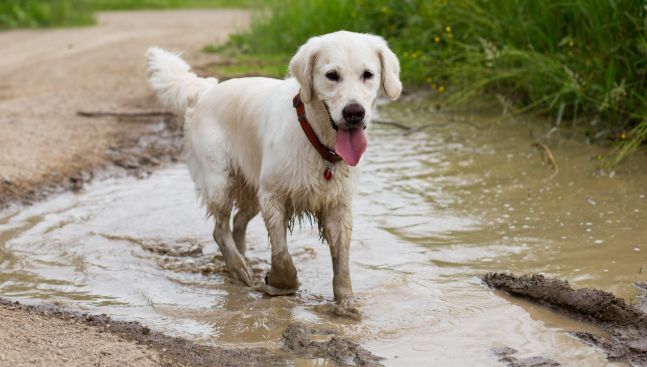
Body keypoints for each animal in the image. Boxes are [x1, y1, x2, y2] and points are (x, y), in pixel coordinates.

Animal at [146, 30, 402, 308]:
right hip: (219, 180)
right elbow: (281, 253)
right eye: (332, 75)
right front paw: (281, 283)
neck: (316, 139)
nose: (354, 112)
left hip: (250, 188)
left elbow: (341, 261)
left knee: (238, 223)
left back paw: (243, 260)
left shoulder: (337, 203)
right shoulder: (273, 196)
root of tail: (205, 90)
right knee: (220, 229)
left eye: (368, 74)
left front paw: (346, 302)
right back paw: (240, 269)